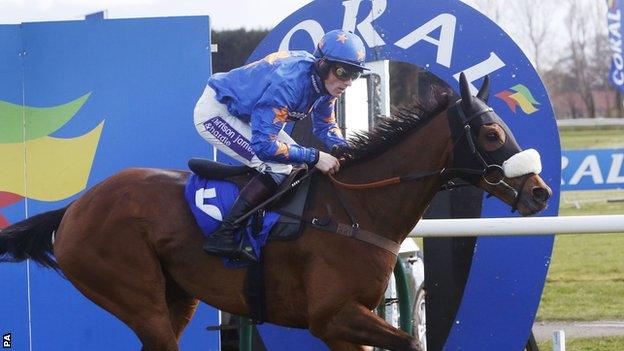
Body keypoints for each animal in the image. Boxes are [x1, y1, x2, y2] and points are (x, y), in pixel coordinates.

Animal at [0, 73, 548, 350]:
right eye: (492, 134)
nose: (541, 193)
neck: (356, 209)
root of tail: (75, 208)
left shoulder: (346, 323)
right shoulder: (332, 317)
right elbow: (411, 344)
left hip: (176, 298)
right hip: (134, 296)